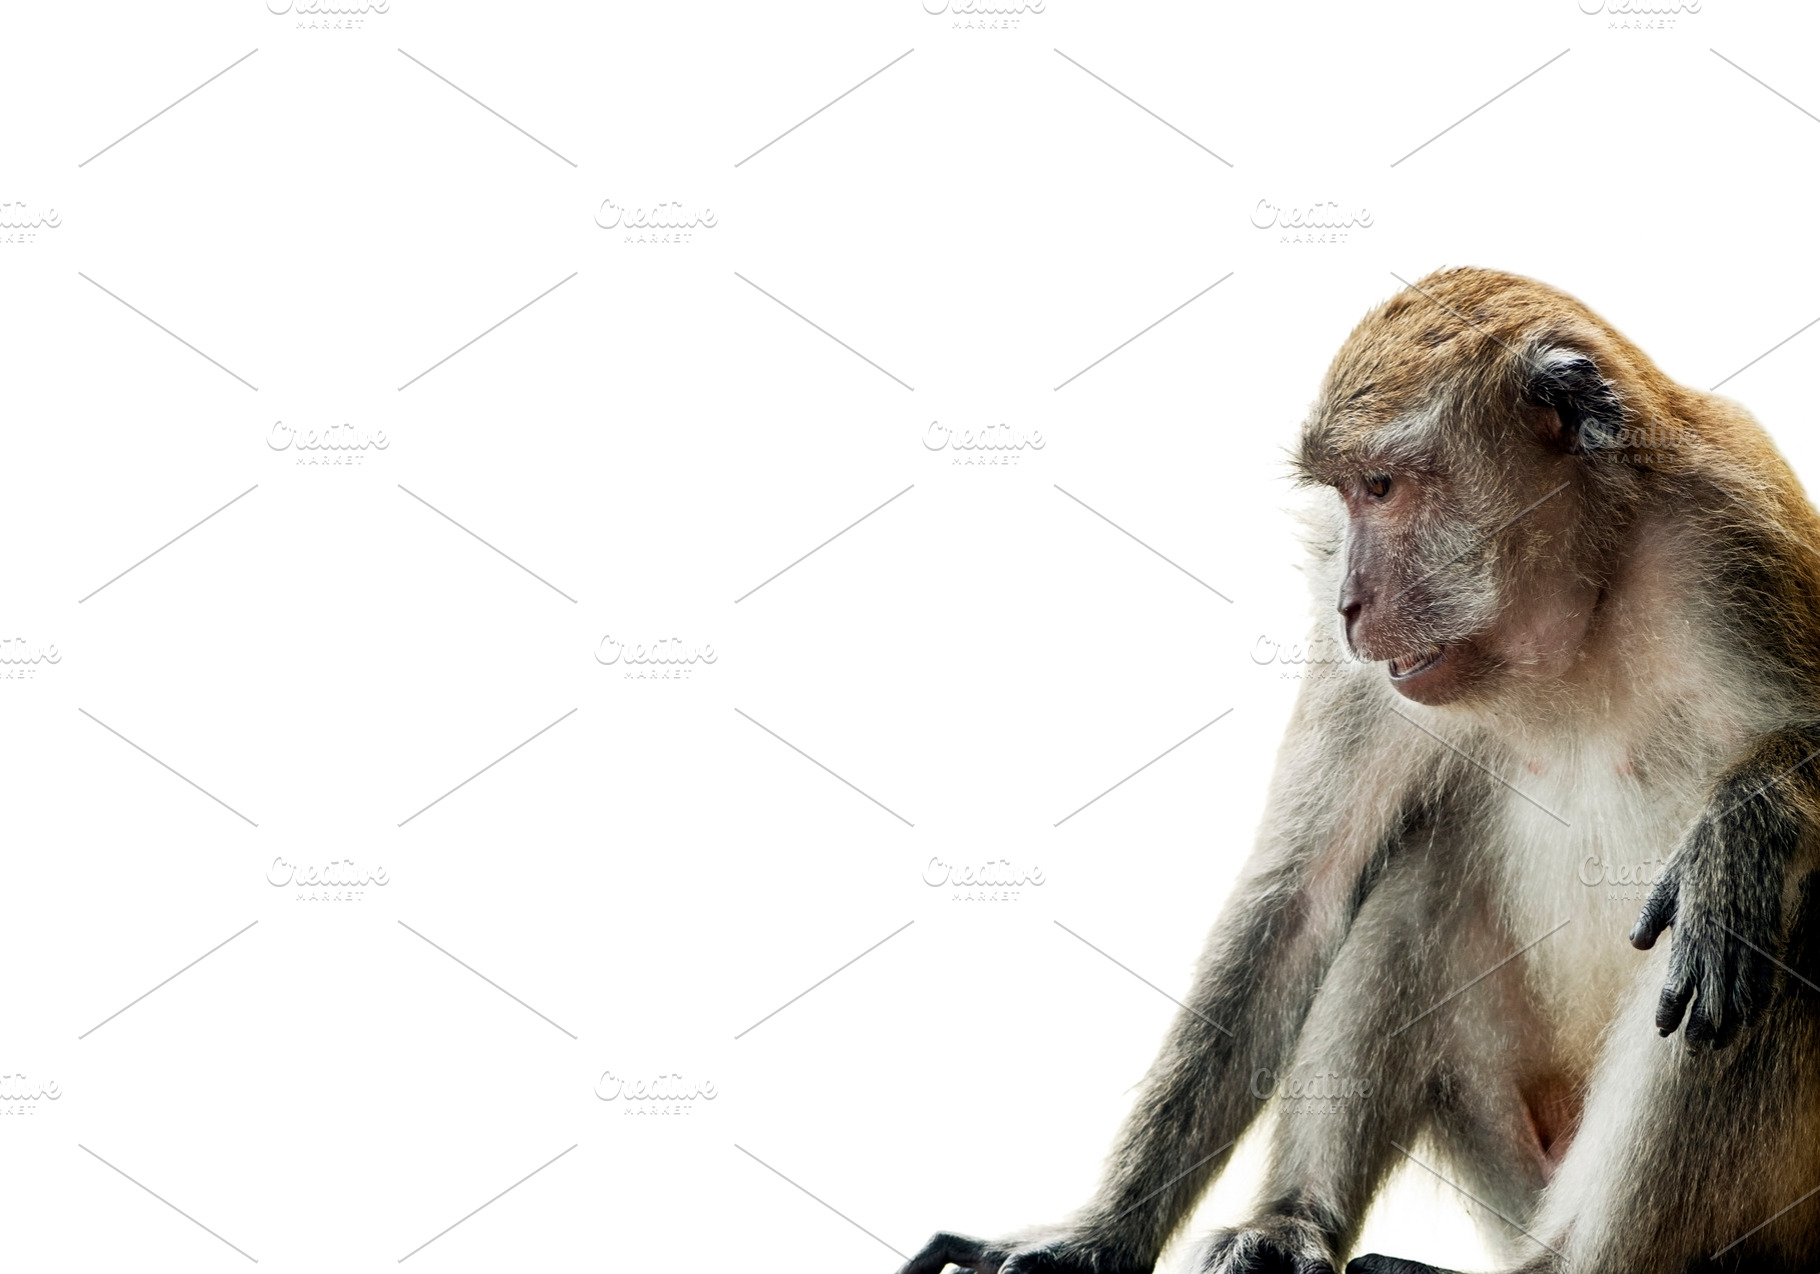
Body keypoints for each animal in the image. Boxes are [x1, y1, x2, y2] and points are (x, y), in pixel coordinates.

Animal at [899, 268, 1820, 1274]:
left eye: (1381, 487)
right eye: (1344, 499)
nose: (1345, 602)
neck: (1577, 615)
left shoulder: (1734, 538)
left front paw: (1748, 817)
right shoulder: (1371, 678)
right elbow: (1302, 896)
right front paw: (1098, 1237)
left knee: (1763, 922)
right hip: (1511, 1156)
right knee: (1417, 887)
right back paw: (1291, 1222)